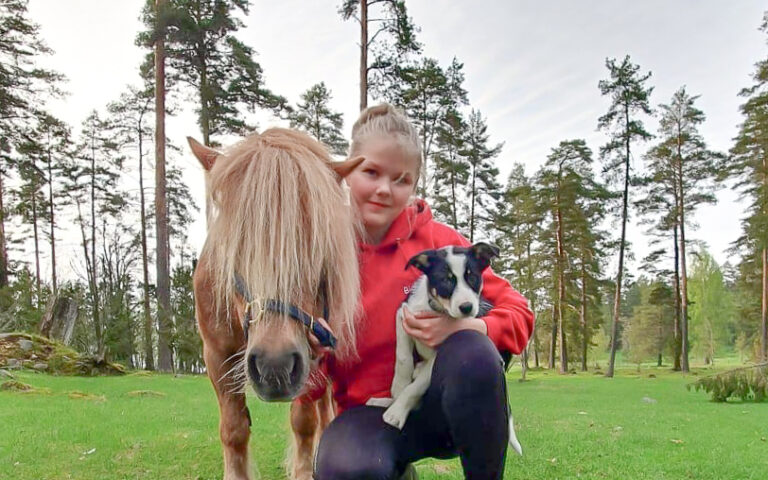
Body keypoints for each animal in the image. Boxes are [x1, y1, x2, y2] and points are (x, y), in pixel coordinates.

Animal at [189, 128, 364, 480]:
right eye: (233, 246)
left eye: (319, 245)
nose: (275, 365)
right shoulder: (215, 355)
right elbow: (233, 430)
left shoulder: (310, 355)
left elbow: (304, 422)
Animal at [366, 242, 520, 456]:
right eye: (445, 280)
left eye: (472, 277)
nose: (467, 307)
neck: (436, 309)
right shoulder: (404, 315)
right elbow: (403, 357)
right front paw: (398, 388)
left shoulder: (439, 351)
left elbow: (417, 386)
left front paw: (397, 412)